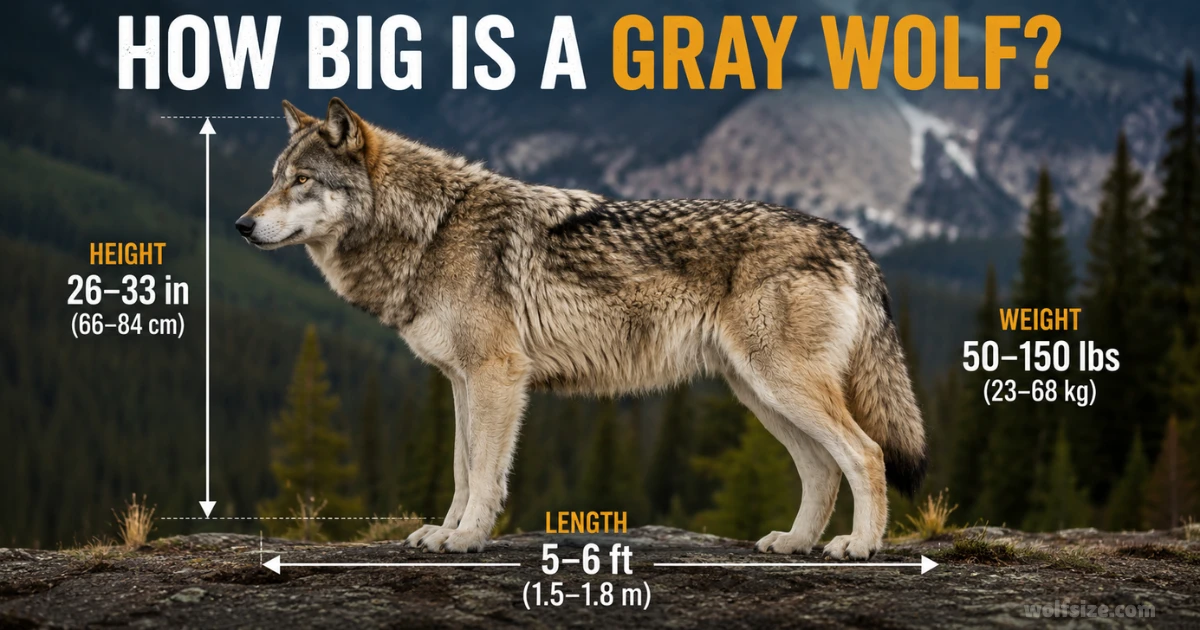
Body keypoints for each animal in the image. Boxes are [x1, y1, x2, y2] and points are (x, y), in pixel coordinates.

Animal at [237, 98, 927, 558]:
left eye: (302, 181)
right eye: (274, 179)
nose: (242, 226)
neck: (430, 227)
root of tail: (847, 237)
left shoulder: (497, 376)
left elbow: (483, 475)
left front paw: (467, 538)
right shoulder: (461, 382)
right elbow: (461, 469)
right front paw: (444, 530)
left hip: (781, 386)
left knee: (865, 453)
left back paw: (858, 547)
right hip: (759, 394)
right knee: (822, 469)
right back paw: (795, 542)